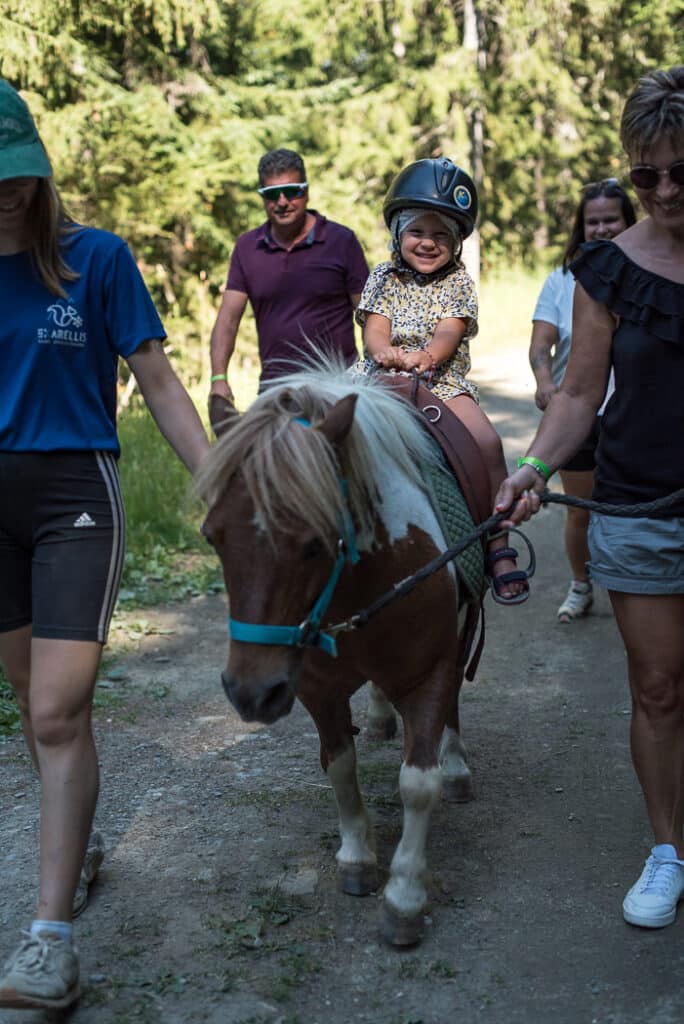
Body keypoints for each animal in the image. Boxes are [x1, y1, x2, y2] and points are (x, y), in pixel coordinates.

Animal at [198, 362, 481, 942]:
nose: (250, 692)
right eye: (213, 537)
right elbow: (340, 766)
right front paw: (357, 857)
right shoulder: (317, 688)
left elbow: (419, 783)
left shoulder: (430, 671)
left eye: (314, 543)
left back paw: (456, 764)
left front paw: (404, 896)